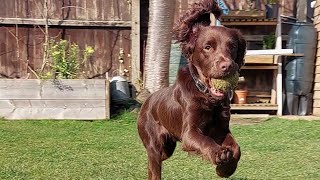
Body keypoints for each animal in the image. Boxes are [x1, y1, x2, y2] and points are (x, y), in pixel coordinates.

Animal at [137, 0, 245, 179]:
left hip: (167, 149)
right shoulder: (190, 133)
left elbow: (237, 148)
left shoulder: (221, 128)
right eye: (208, 47)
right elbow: (204, 141)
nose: (228, 66)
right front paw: (219, 154)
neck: (207, 96)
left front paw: (224, 170)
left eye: (233, 46)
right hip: (155, 145)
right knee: (154, 166)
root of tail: (147, 102)